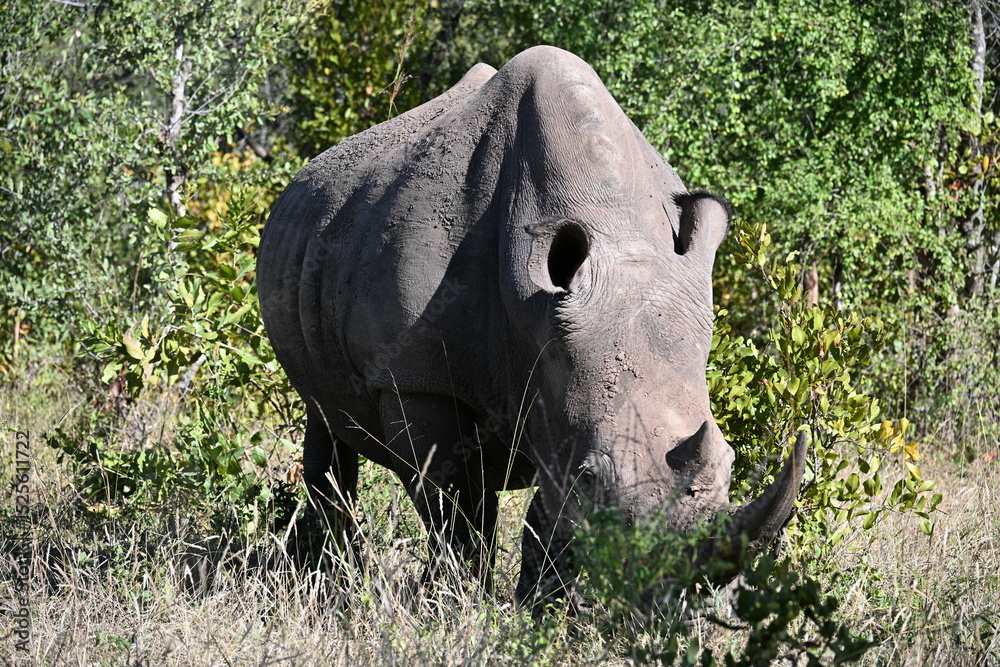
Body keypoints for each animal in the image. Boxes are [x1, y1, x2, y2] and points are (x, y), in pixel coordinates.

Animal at [257, 46, 805, 607]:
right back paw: (331, 584)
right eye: (592, 478)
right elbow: (456, 509)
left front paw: (536, 612)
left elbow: (549, 526)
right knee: (325, 422)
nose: (683, 601)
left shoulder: (560, 377)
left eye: (731, 463)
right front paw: (455, 603)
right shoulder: (414, 377)